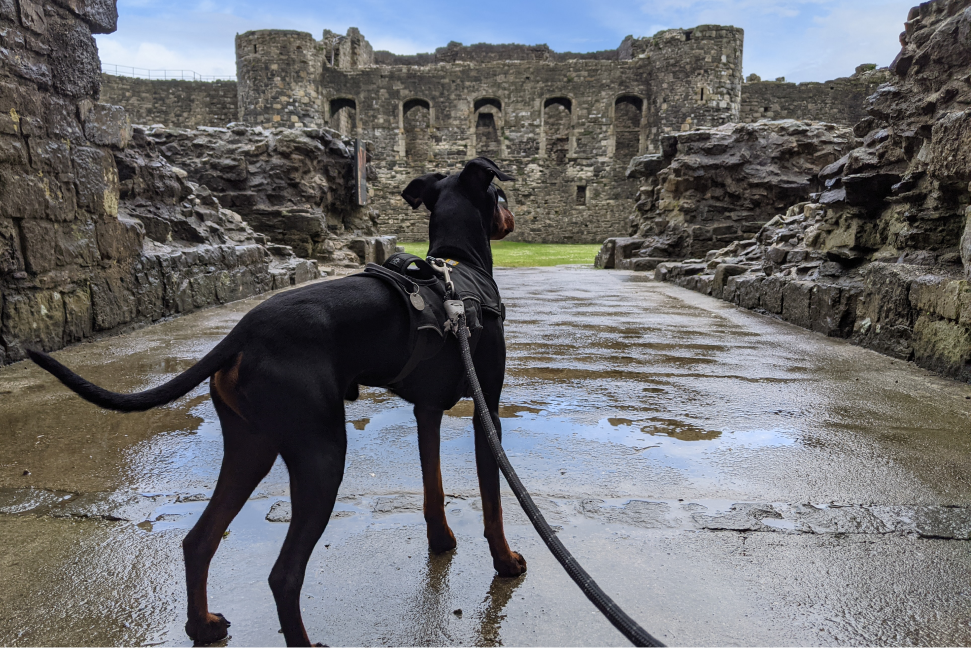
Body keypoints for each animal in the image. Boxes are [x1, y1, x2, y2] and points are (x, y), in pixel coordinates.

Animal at [26, 158, 524, 648]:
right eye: (500, 194)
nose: (510, 217)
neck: (460, 268)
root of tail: (244, 332)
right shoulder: (487, 412)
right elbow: (494, 503)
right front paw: (505, 561)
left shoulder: (425, 412)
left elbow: (433, 487)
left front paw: (441, 541)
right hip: (322, 455)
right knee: (283, 575)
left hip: (250, 446)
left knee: (199, 540)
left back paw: (202, 626)